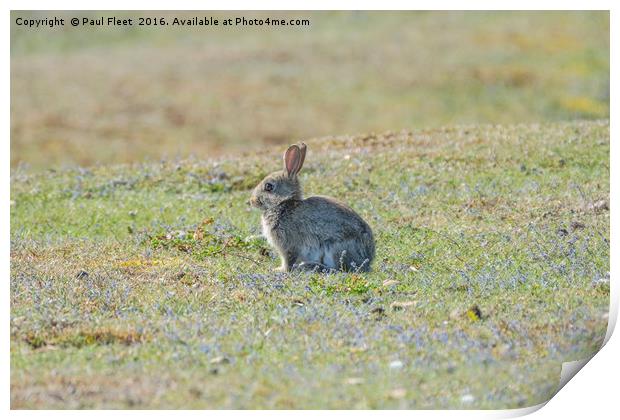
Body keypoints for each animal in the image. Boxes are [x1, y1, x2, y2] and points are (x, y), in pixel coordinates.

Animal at [249, 141, 376, 272]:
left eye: (268, 186)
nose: (251, 201)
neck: (284, 204)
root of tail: (367, 259)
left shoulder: (288, 245)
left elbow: (288, 261)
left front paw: (279, 270)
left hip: (335, 250)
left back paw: (311, 266)